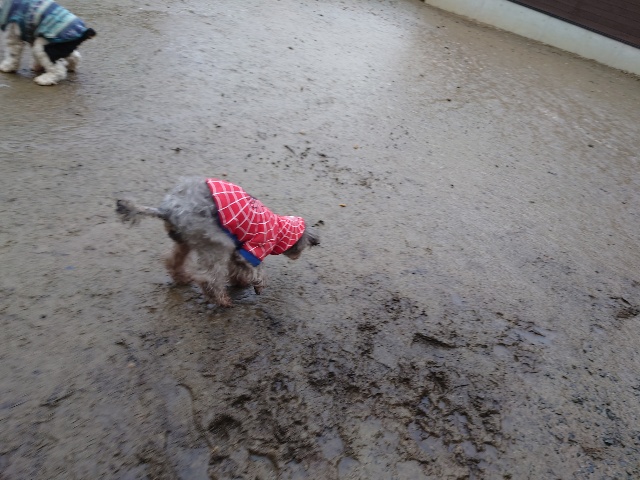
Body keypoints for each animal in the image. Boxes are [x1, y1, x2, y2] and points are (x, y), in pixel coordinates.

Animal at [116, 177, 320, 307]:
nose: (297, 256)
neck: (278, 229)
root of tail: (167, 209)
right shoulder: (251, 249)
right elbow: (257, 269)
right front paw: (258, 284)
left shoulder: (238, 249)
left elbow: (238, 268)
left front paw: (240, 281)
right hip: (217, 242)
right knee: (209, 279)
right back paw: (222, 300)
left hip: (186, 240)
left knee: (173, 261)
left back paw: (182, 278)